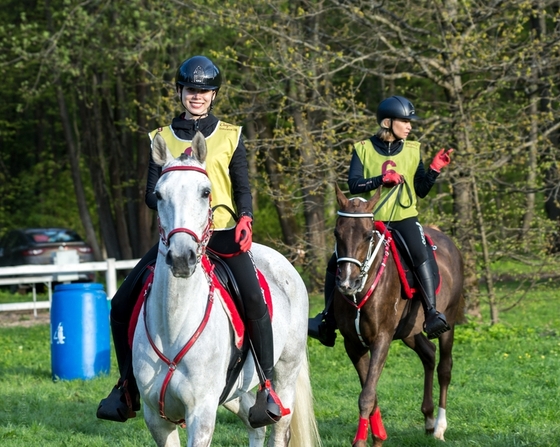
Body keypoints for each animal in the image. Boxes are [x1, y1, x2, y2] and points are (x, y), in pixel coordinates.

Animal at [131, 132, 320, 447]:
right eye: (158, 195)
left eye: (205, 192)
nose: (181, 258)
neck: (174, 326)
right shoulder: (156, 418)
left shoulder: (201, 415)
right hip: (236, 394)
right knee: (255, 424)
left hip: (285, 375)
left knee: (278, 427)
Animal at [332, 185, 464, 447]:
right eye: (336, 233)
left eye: (368, 235)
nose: (347, 283)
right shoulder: (353, 344)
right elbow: (370, 392)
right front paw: (377, 437)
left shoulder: (381, 339)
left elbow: (367, 395)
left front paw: (364, 440)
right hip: (409, 331)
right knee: (428, 354)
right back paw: (428, 419)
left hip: (449, 322)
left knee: (445, 368)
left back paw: (440, 427)